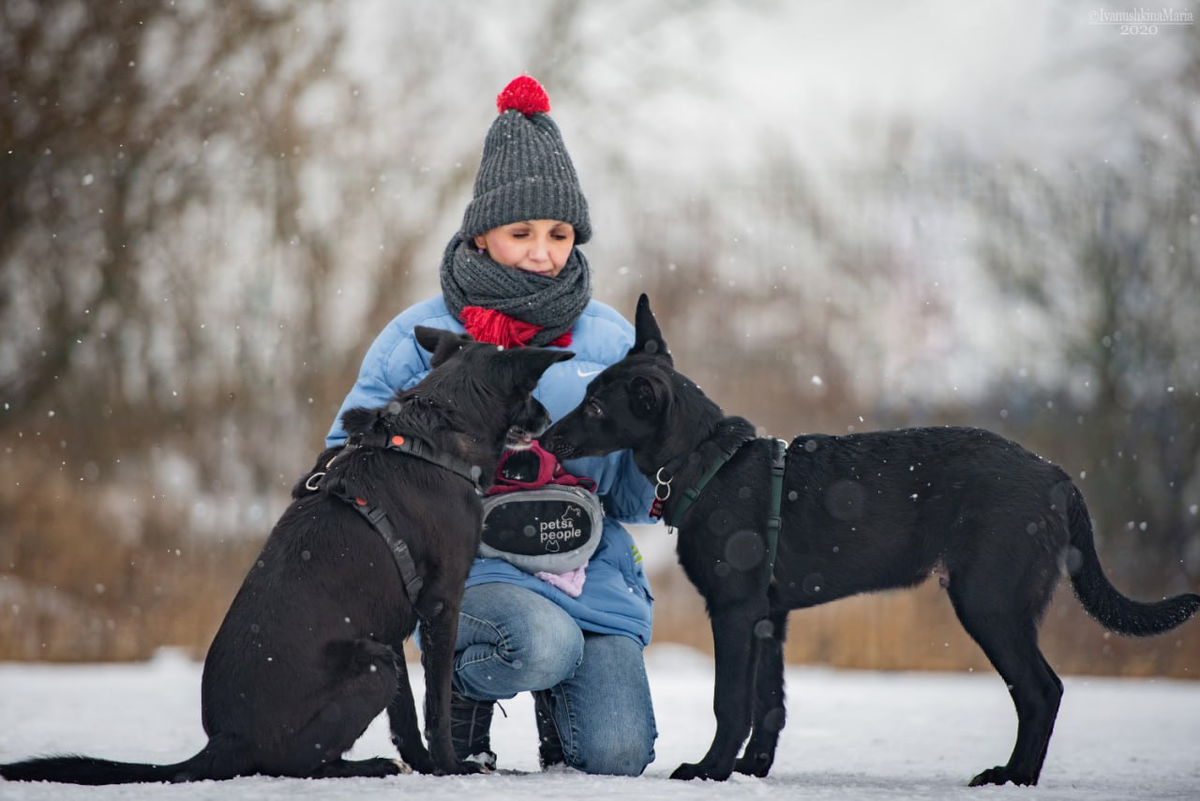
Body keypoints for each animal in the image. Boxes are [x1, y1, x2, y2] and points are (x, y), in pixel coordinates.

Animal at [1, 328, 571, 786]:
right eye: (531, 393)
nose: (548, 418)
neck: (438, 432)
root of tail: (224, 741)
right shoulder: (440, 604)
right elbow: (435, 706)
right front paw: (452, 767)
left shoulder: (394, 627)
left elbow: (407, 718)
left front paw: (426, 766)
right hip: (371, 665)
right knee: (296, 765)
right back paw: (365, 767)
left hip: (379, 654)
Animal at [544, 291, 1200, 786]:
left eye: (596, 406)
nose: (545, 436)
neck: (712, 464)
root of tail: (1056, 476)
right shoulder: (769, 618)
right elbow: (770, 704)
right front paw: (751, 771)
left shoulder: (734, 611)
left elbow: (730, 701)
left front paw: (709, 770)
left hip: (989, 601)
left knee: (1042, 691)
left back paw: (1012, 778)